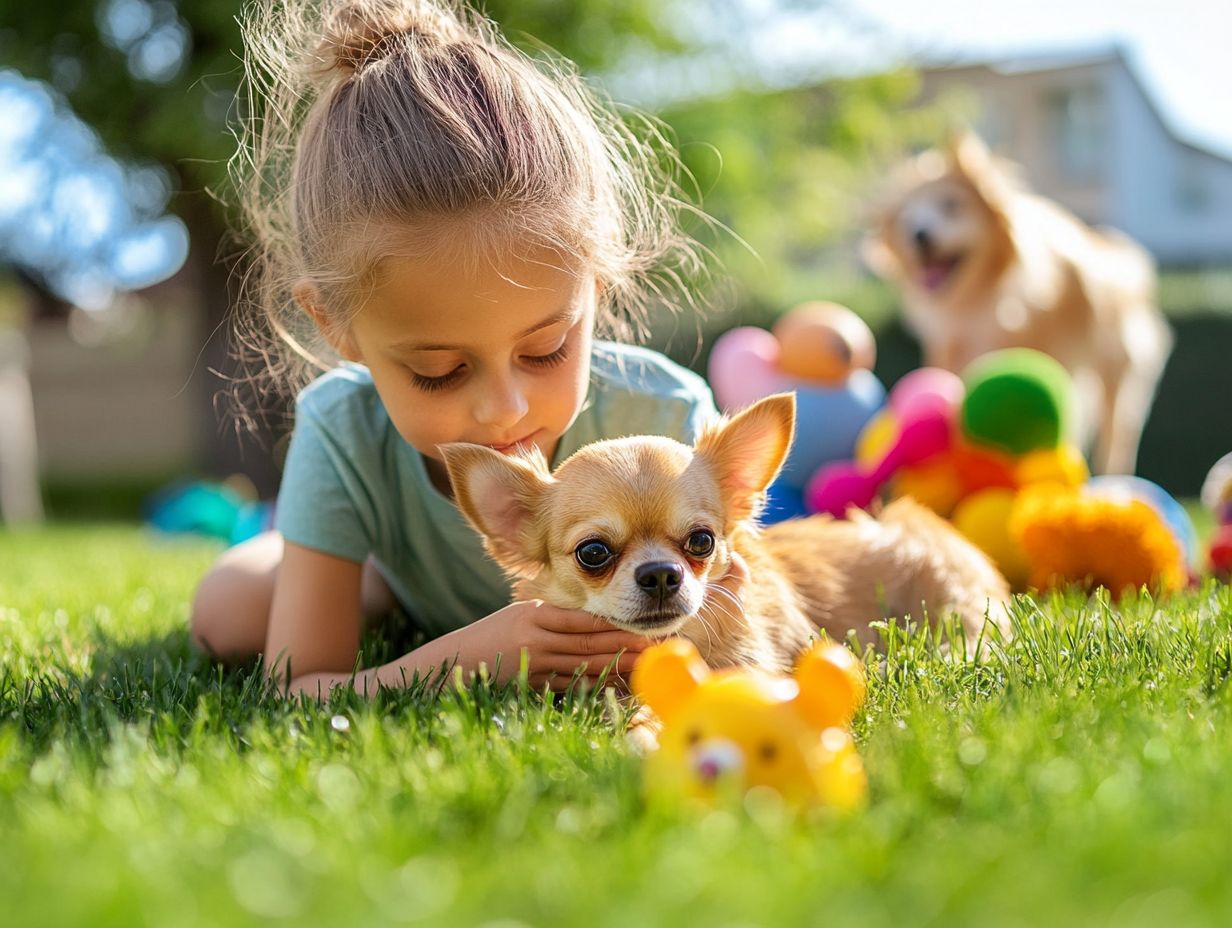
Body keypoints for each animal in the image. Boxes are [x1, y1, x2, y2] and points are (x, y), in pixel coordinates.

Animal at [867, 130, 1172, 473]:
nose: (919, 235)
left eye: (951, 206)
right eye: (908, 219)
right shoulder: (949, 349)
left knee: (1116, 436)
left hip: (1116, 372)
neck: (981, 300)